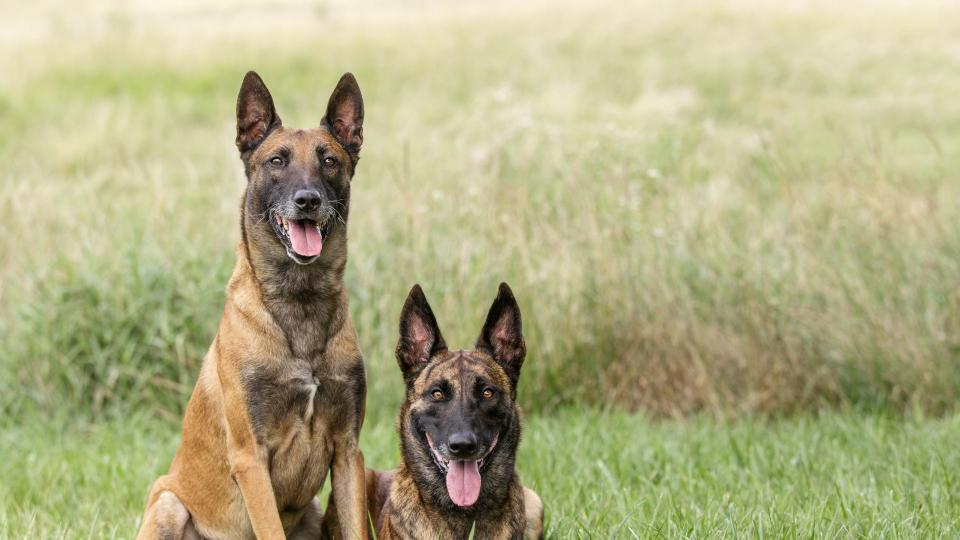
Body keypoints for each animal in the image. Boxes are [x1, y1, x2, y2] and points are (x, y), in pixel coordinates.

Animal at [137, 71, 370, 540]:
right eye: (277, 160)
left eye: (329, 161)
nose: (307, 200)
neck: (300, 300)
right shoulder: (250, 458)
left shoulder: (349, 451)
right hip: (169, 502)